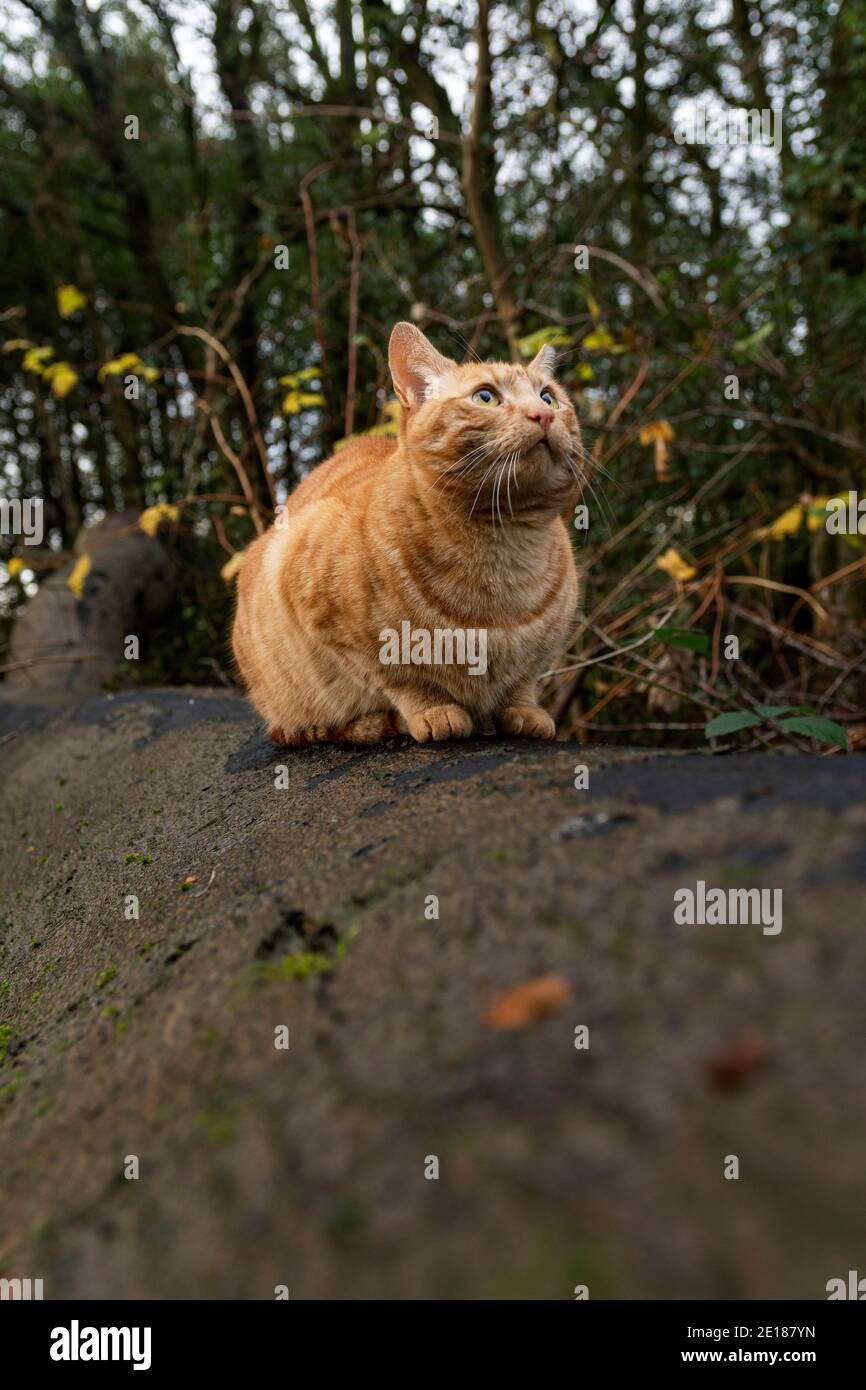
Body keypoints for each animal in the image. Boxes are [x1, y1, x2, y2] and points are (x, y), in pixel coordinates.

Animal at [230, 321, 583, 745]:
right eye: (485, 397)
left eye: (549, 397)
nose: (543, 415)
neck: (505, 545)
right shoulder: (333, 623)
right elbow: (403, 679)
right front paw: (434, 711)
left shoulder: (541, 651)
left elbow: (522, 682)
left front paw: (524, 711)